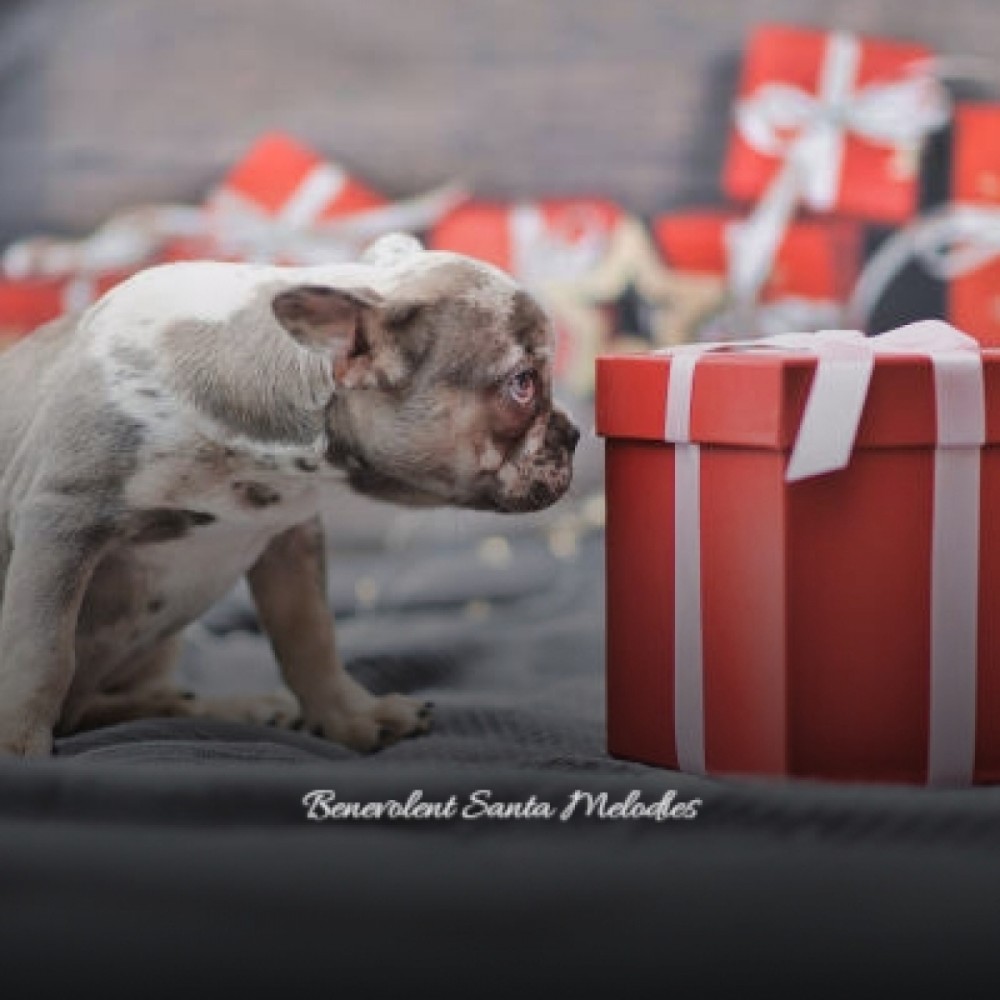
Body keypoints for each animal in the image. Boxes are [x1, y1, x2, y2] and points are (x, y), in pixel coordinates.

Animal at [0, 230, 580, 752]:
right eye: (522, 384)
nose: (574, 433)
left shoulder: (288, 537)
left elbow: (309, 636)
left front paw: (351, 715)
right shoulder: (63, 521)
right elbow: (42, 653)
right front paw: (19, 745)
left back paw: (232, 708)